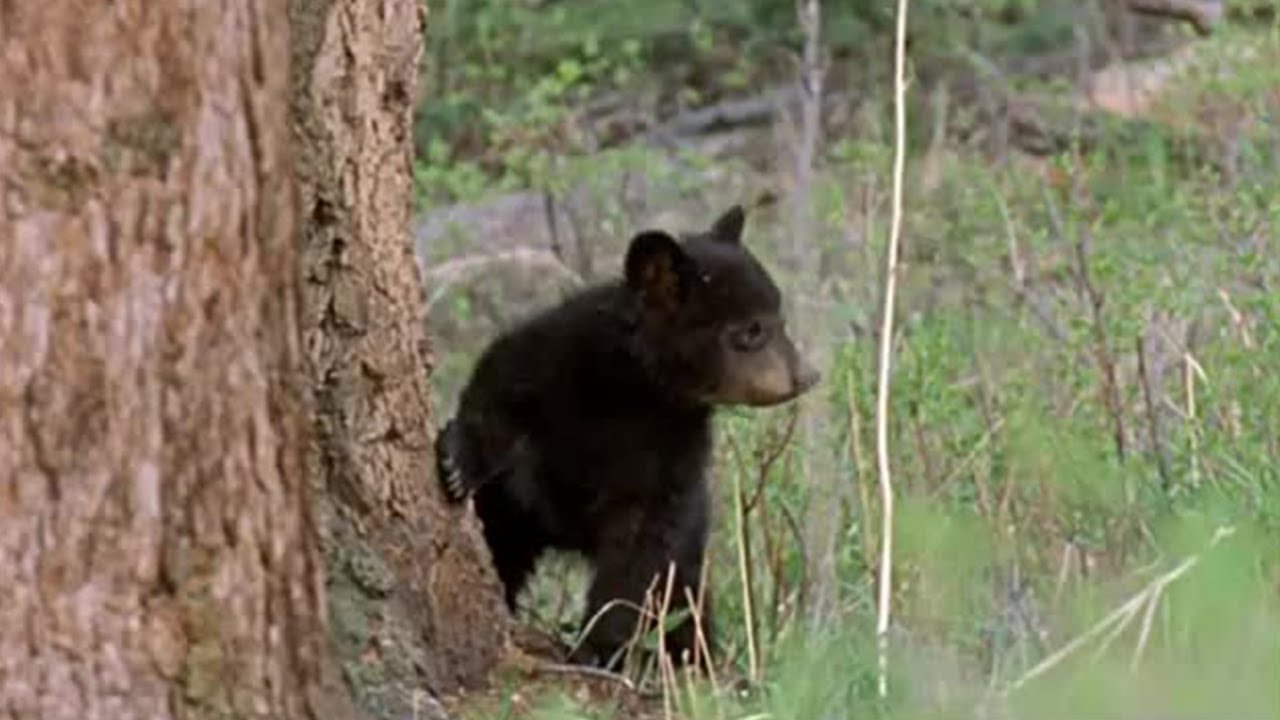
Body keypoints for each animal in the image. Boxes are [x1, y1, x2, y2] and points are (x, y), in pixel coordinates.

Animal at [435, 204, 819, 669]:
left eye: (780, 317)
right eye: (751, 329)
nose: (806, 376)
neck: (639, 387)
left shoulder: (672, 447)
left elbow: (641, 548)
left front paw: (597, 648)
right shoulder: (561, 355)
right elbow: (500, 383)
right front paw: (457, 463)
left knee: (683, 598)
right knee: (503, 542)